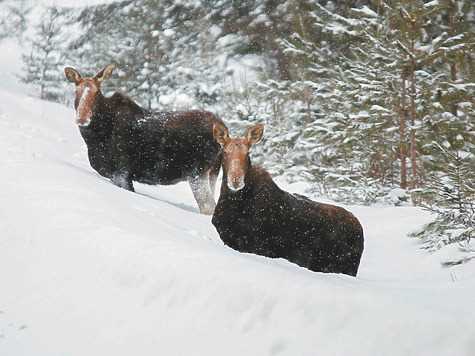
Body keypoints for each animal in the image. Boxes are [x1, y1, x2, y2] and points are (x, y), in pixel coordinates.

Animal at [63, 64, 225, 214]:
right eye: (76, 91)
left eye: (97, 92)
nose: (82, 118)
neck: (95, 137)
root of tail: (224, 130)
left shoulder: (121, 172)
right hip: (212, 174)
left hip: (197, 173)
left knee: (208, 207)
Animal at [212, 122, 364, 276]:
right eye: (225, 152)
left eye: (248, 153)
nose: (236, 180)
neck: (235, 203)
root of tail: (359, 228)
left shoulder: (259, 248)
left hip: (344, 267)